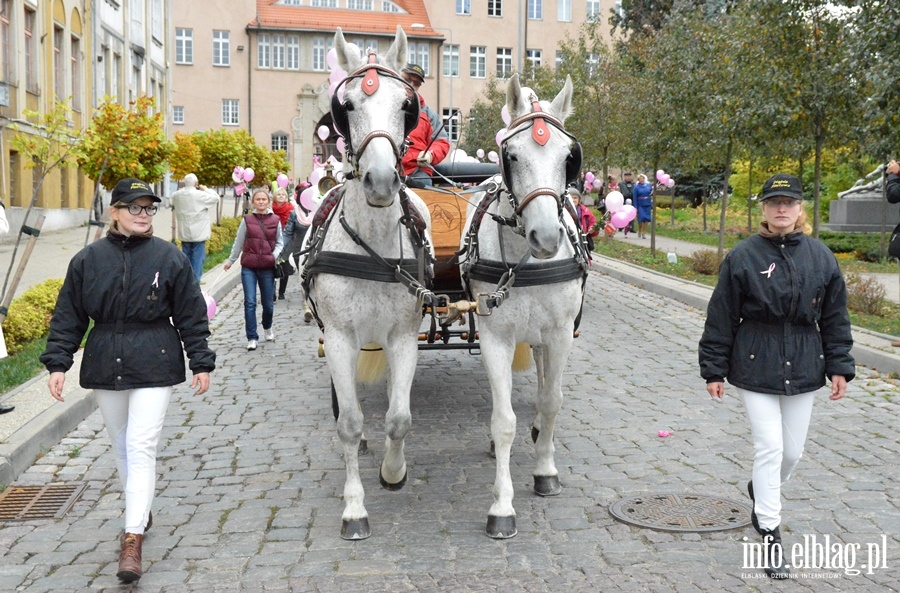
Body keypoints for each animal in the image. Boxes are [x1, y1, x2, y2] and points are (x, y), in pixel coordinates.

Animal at [302, 26, 432, 536]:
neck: (373, 248)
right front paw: (354, 507)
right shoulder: (340, 337)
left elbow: (399, 418)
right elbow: (351, 422)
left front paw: (394, 472)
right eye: (349, 105)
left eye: (405, 105)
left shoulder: (403, 337)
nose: (380, 180)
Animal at [460, 73, 588, 536]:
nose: (547, 237)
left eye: (569, 157)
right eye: (511, 155)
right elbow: (503, 421)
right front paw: (502, 506)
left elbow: (552, 401)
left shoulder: (560, 333)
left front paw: (545, 471)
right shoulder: (494, 336)